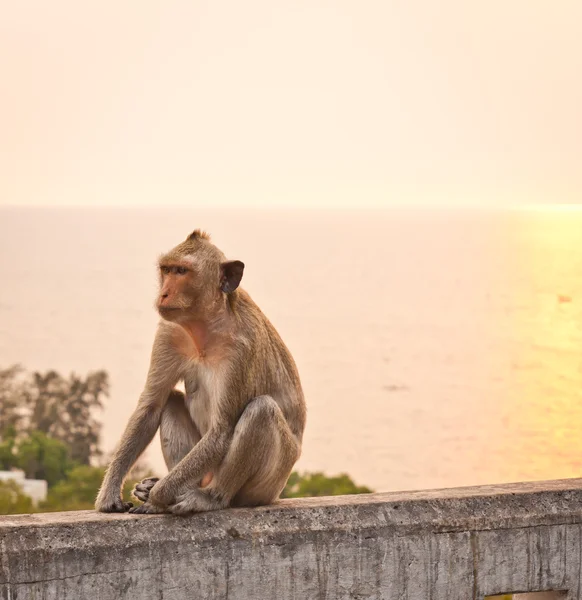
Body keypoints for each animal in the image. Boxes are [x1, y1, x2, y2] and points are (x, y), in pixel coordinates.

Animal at [93, 230, 308, 516]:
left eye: (182, 271)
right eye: (166, 270)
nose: (163, 294)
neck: (207, 324)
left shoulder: (243, 348)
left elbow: (220, 432)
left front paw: (156, 498)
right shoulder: (169, 333)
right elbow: (150, 408)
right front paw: (110, 493)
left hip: (268, 485)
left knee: (261, 410)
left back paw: (209, 497)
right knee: (172, 401)